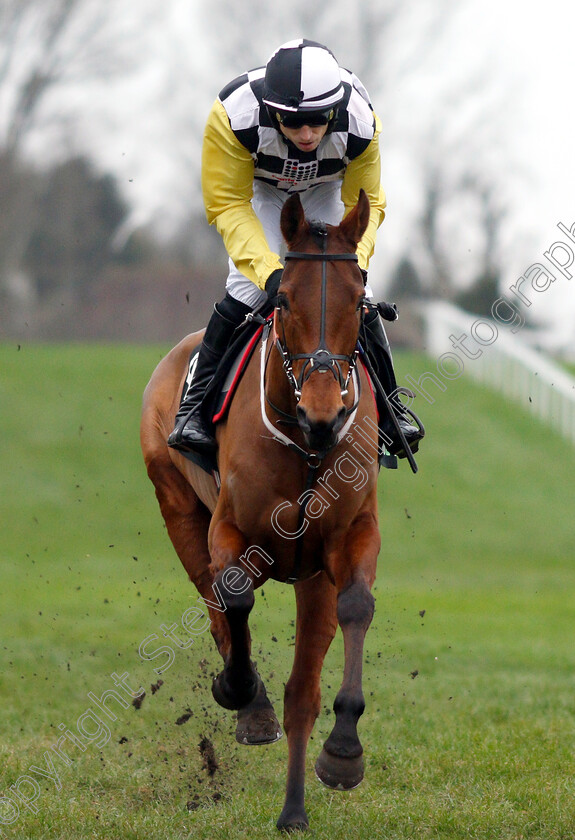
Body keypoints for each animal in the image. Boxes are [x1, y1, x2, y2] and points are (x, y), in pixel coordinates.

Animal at [139, 189, 382, 828]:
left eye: (360, 300)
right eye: (286, 299)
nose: (324, 413)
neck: (306, 446)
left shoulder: (347, 538)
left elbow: (356, 607)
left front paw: (343, 752)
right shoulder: (229, 530)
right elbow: (236, 597)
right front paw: (240, 693)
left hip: (308, 575)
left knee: (303, 691)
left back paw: (293, 809)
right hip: (177, 507)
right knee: (212, 599)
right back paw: (250, 705)